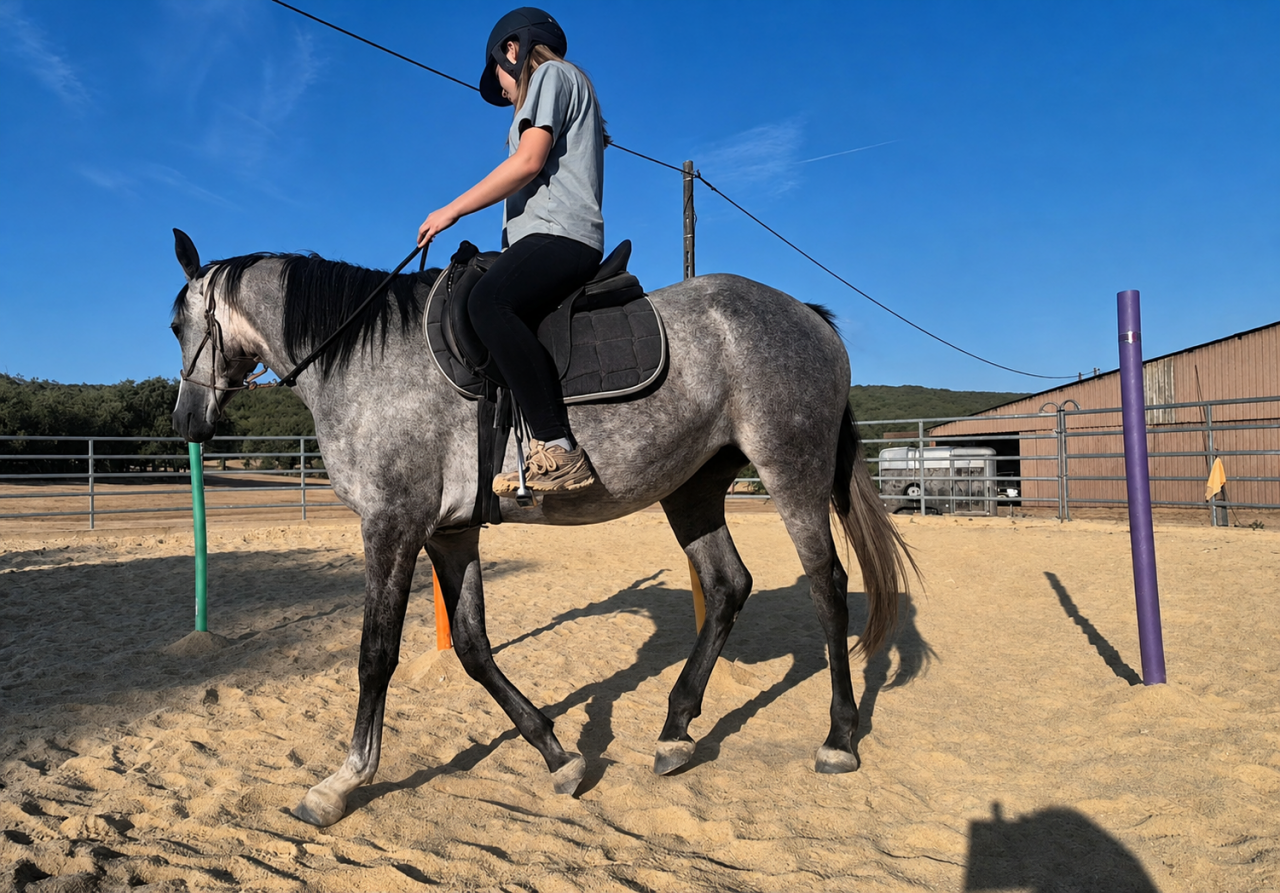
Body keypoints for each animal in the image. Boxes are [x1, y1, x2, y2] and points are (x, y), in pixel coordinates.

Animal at [167, 229, 913, 828]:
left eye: (177, 324)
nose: (187, 423)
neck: (360, 358)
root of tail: (808, 315)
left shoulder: (392, 525)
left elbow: (375, 655)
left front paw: (342, 781)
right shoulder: (449, 534)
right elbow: (472, 648)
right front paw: (558, 755)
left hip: (792, 468)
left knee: (826, 585)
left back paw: (838, 738)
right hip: (693, 487)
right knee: (729, 585)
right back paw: (675, 730)